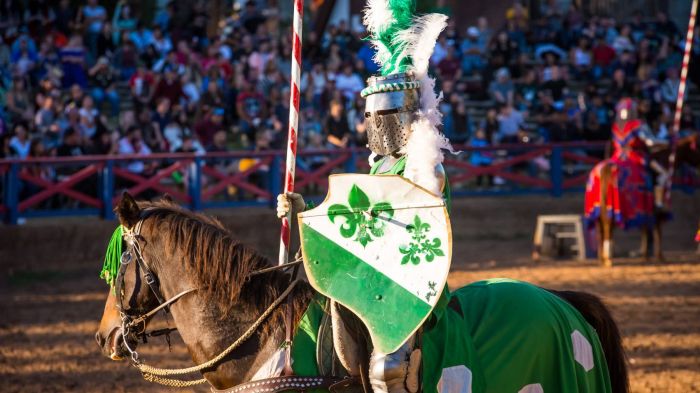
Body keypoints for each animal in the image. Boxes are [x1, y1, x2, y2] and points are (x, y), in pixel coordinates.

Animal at [588, 132, 696, 266]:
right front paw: (658, 256)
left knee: (600, 230)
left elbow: (646, 229)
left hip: (598, 209)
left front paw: (646, 255)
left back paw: (602, 258)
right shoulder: (653, 210)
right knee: (608, 226)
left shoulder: (645, 210)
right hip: (610, 208)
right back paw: (609, 258)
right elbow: (656, 230)